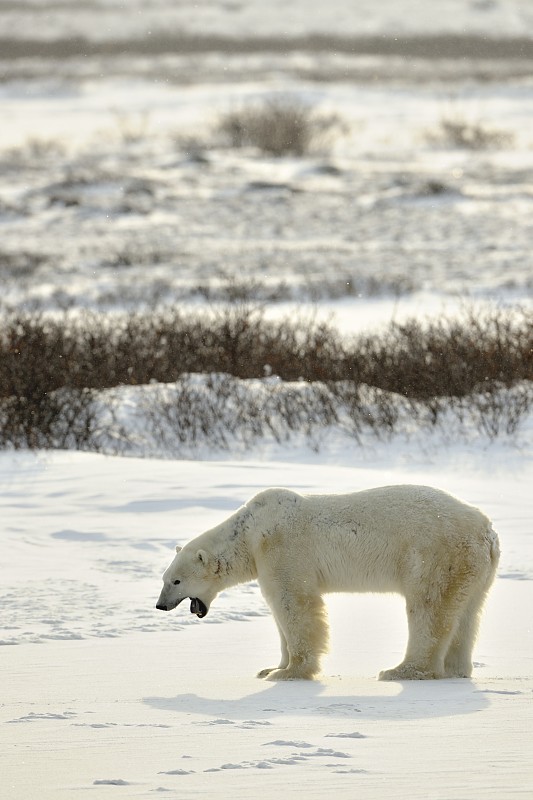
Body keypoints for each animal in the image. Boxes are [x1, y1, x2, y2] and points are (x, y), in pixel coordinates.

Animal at [155, 484, 498, 680]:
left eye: (176, 581)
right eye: (164, 578)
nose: (160, 605)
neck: (250, 534)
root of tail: (487, 531)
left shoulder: (282, 548)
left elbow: (295, 604)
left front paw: (290, 672)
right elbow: (280, 614)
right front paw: (271, 668)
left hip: (435, 555)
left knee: (429, 607)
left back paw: (401, 670)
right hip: (473, 567)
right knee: (467, 612)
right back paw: (455, 670)